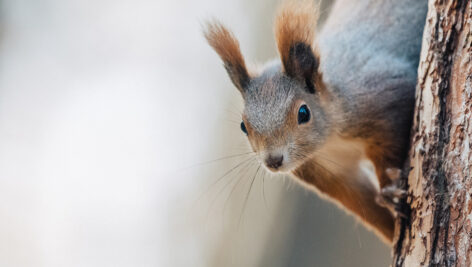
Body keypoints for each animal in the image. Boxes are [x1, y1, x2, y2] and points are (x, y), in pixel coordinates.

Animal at [203, 0, 428, 244]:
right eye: (243, 126)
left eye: (304, 113)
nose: (273, 161)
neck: (331, 141)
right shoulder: (328, 172)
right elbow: (365, 206)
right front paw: (390, 230)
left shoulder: (387, 100)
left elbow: (391, 153)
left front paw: (390, 190)